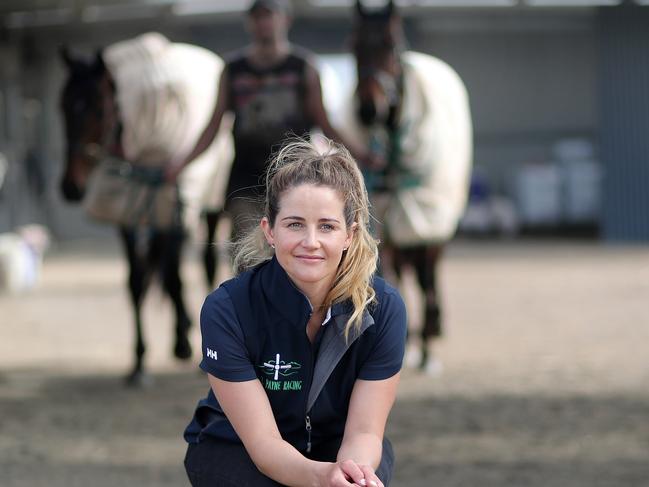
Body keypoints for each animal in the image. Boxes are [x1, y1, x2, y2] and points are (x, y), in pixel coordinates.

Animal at [58, 32, 233, 386]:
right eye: (62, 106)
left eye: (98, 108)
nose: (70, 187)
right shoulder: (128, 214)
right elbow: (137, 281)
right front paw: (138, 362)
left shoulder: (174, 208)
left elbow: (174, 277)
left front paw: (182, 344)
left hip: (206, 207)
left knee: (203, 263)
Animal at [344, 0, 470, 376]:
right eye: (353, 45)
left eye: (390, 43)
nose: (368, 109)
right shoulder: (386, 216)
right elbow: (391, 274)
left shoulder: (424, 213)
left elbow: (426, 277)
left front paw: (428, 344)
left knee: (429, 273)